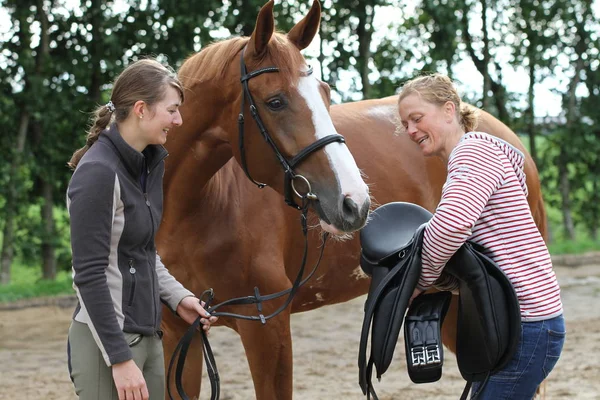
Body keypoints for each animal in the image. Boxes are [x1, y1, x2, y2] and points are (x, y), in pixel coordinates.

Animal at [157, 1, 548, 398]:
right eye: (275, 101)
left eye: (325, 93)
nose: (354, 202)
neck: (195, 210)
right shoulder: (180, 333)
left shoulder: (267, 331)